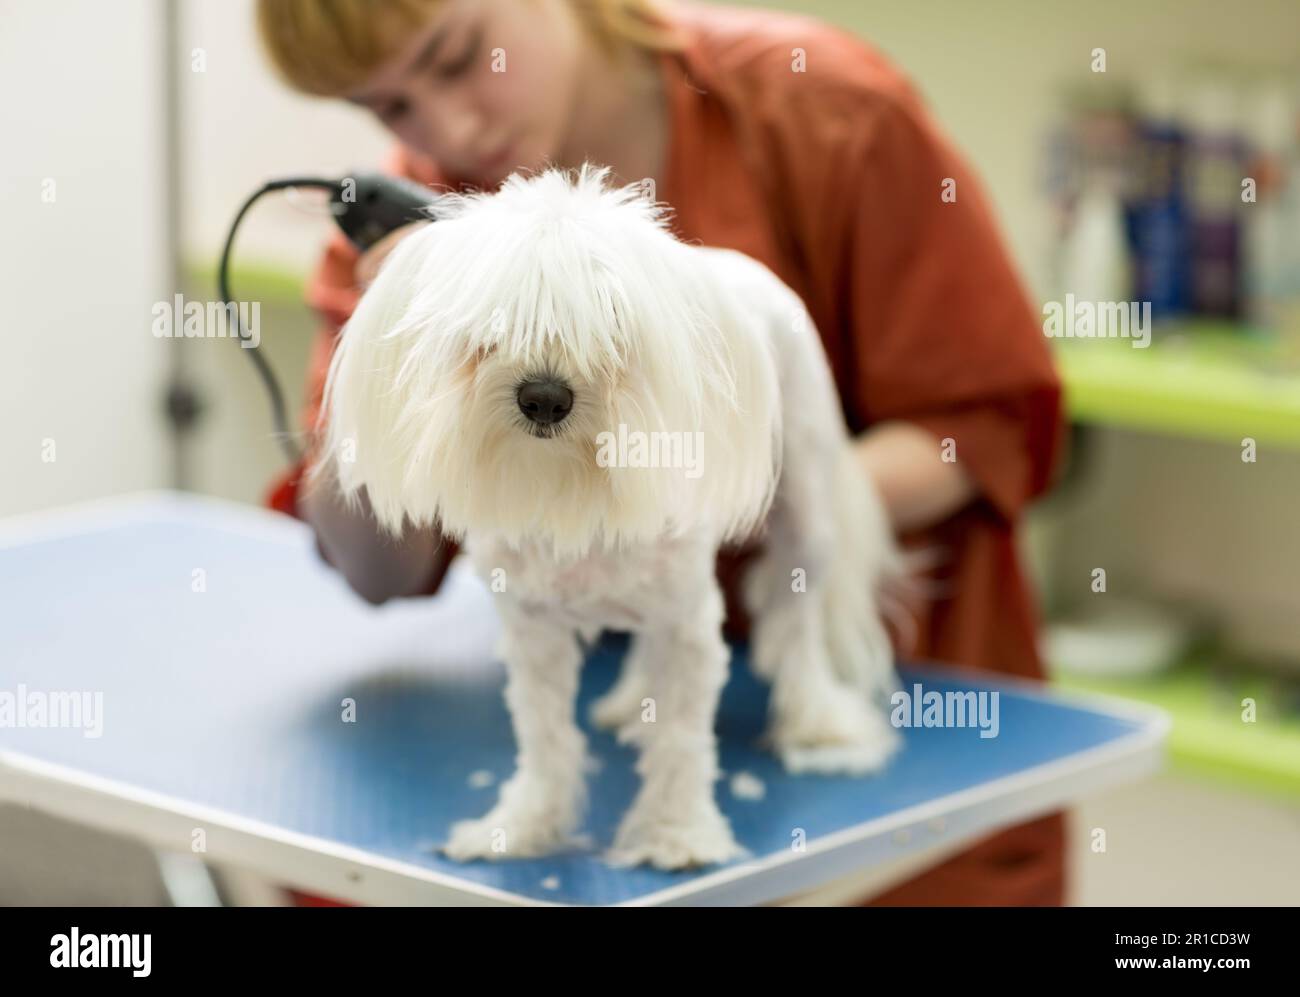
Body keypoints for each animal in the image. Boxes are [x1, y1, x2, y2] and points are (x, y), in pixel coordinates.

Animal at [315, 163, 904, 863]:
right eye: (492, 329)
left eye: (612, 328)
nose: (544, 396)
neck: (576, 489)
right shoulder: (534, 627)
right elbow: (544, 735)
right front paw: (526, 823)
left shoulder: (689, 625)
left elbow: (682, 736)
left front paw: (676, 832)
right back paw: (633, 699)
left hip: (803, 509)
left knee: (797, 620)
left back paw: (816, 720)